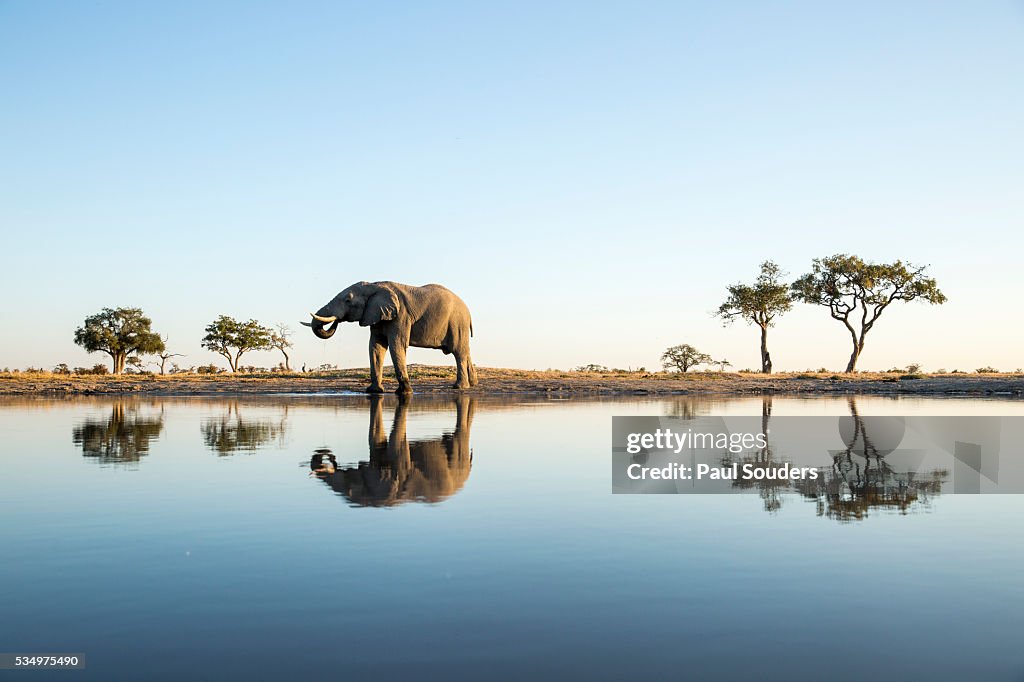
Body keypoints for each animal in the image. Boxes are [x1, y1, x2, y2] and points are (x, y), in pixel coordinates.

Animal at [302, 281, 478, 393]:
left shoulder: (400, 316)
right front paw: (374, 391)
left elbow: (396, 345)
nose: (336, 321)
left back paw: (459, 387)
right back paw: (473, 384)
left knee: (458, 352)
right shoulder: (376, 316)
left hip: (457, 322)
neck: (374, 285)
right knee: (465, 352)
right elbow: (375, 347)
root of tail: (468, 312)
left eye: (348, 300)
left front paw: (404, 392)